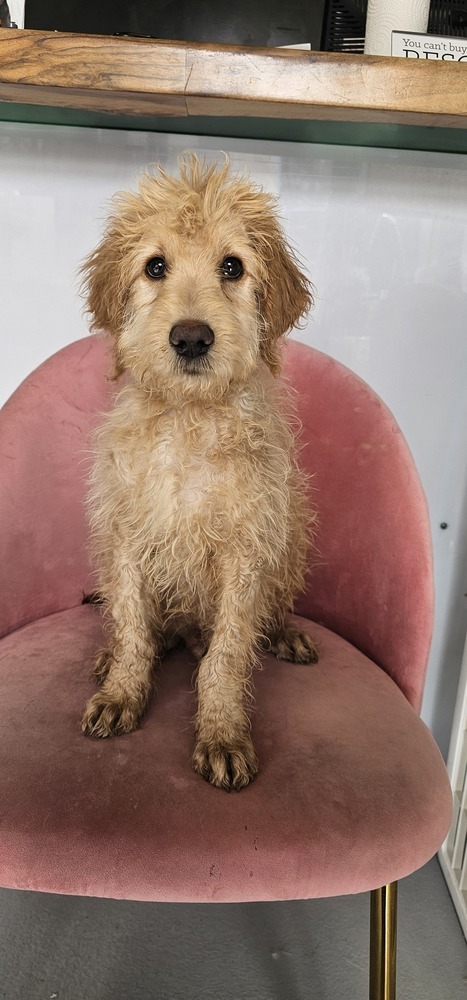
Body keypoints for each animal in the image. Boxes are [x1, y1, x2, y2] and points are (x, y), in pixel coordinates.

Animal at [82, 154, 320, 788]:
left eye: (232, 266)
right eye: (155, 266)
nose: (191, 338)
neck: (189, 425)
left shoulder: (246, 550)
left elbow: (229, 653)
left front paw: (222, 732)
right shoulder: (126, 536)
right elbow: (133, 625)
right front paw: (123, 690)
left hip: (292, 536)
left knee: (267, 612)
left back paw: (284, 633)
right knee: (142, 626)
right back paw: (112, 655)